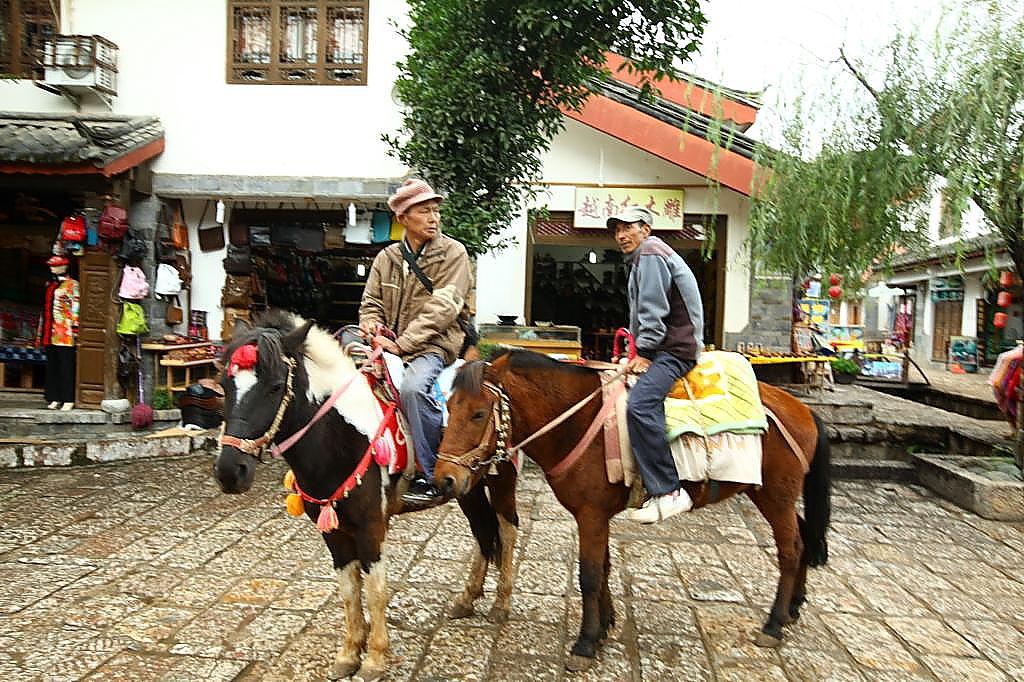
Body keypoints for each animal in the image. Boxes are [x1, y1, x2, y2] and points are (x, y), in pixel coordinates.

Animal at [214, 311, 520, 675]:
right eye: (224, 385)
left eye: (275, 386)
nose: (230, 472)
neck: (342, 435)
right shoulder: (332, 532)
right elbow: (349, 590)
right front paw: (349, 653)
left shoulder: (371, 526)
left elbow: (375, 591)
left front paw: (375, 657)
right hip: (465, 487)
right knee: (482, 533)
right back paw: (467, 598)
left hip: (501, 479)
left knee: (506, 530)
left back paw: (501, 603)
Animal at [436, 350, 827, 667]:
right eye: (448, 407)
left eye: (479, 414)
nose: (445, 480)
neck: (576, 421)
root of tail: (804, 410)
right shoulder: (596, 515)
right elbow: (605, 568)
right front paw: (604, 626)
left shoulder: (591, 515)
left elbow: (590, 575)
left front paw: (585, 643)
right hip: (773, 495)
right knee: (804, 537)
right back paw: (793, 608)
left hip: (776, 496)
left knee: (790, 550)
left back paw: (773, 624)